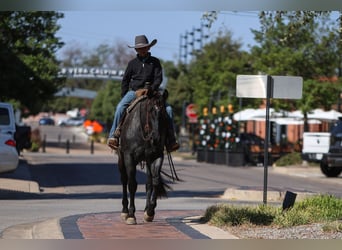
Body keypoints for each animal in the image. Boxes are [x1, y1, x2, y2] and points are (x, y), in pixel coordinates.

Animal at [118, 92, 170, 225]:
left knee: (149, 183)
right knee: (124, 180)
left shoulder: (156, 156)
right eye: (150, 110)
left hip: (147, 160)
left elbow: (155, 181)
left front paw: (150, 211)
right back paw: (124, 211)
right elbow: (132, 184)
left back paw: (147, 209)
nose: (156, 138)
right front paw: (131, 214)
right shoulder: (129, 157)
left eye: (163, 112)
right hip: (121, 159)